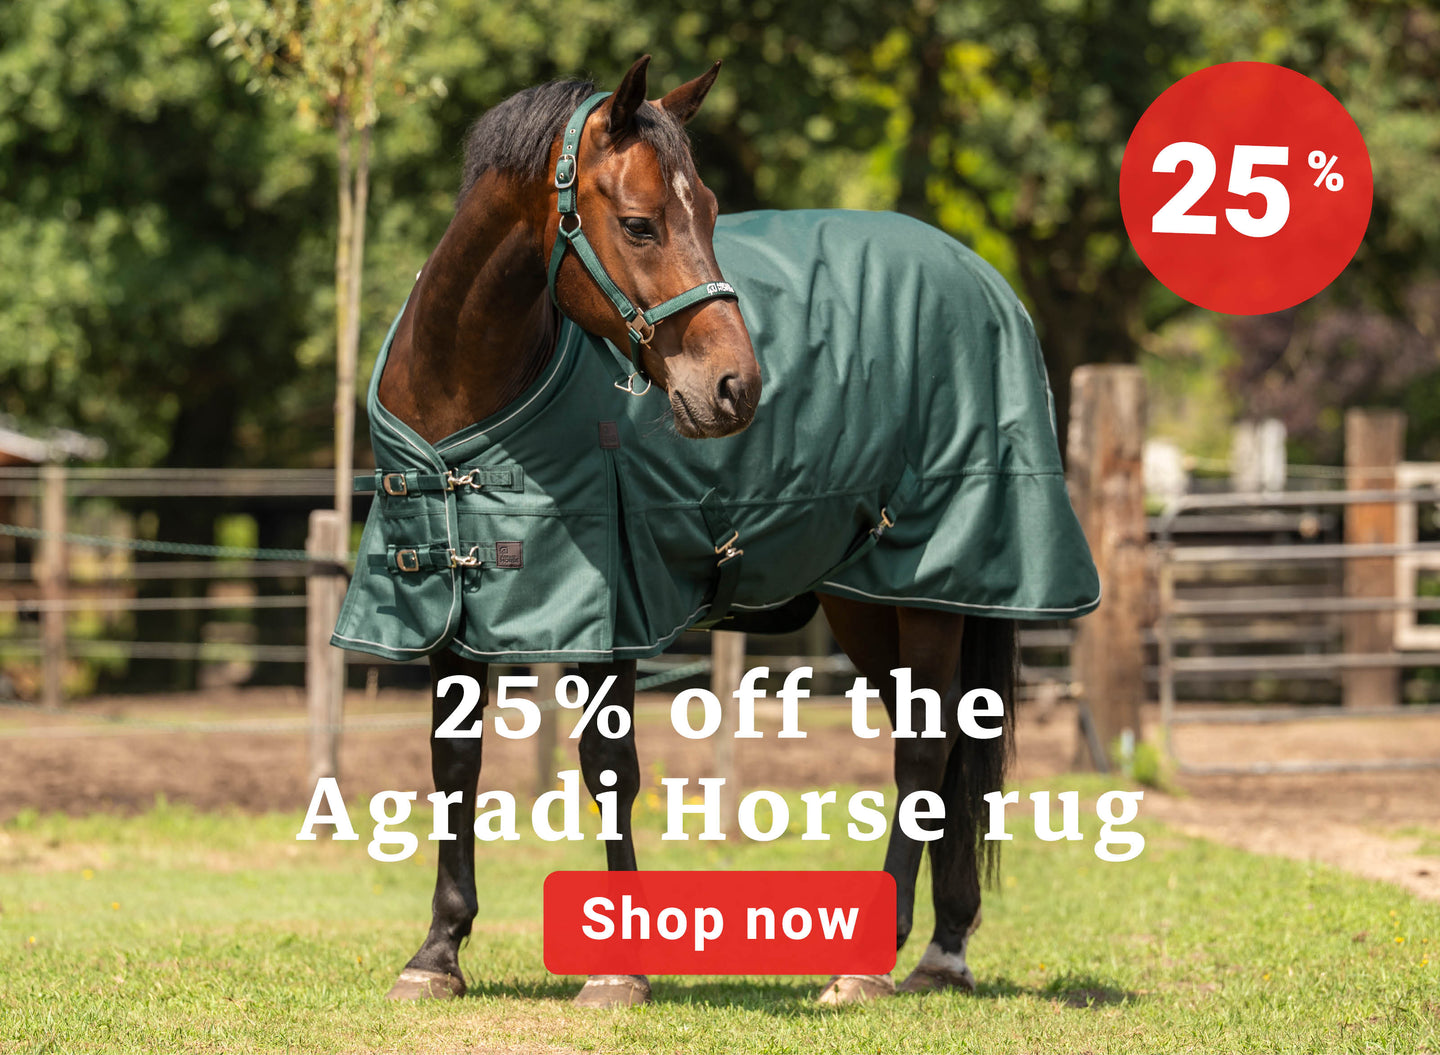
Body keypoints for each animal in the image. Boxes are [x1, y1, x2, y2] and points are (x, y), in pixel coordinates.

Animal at [337, 55, 1098, 1008]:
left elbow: (609, 767)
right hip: (866, 602)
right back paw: (942, 950)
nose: (739, 386)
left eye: (705, 211)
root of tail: (985, 280)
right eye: (639, 222)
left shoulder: (612, 613)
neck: (465, 400)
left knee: (926, 752)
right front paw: (438, 950)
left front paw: (620, 966)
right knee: (946, 746)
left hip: (933, 585)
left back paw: (871, 961)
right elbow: (453, 768)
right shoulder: (445, 608)